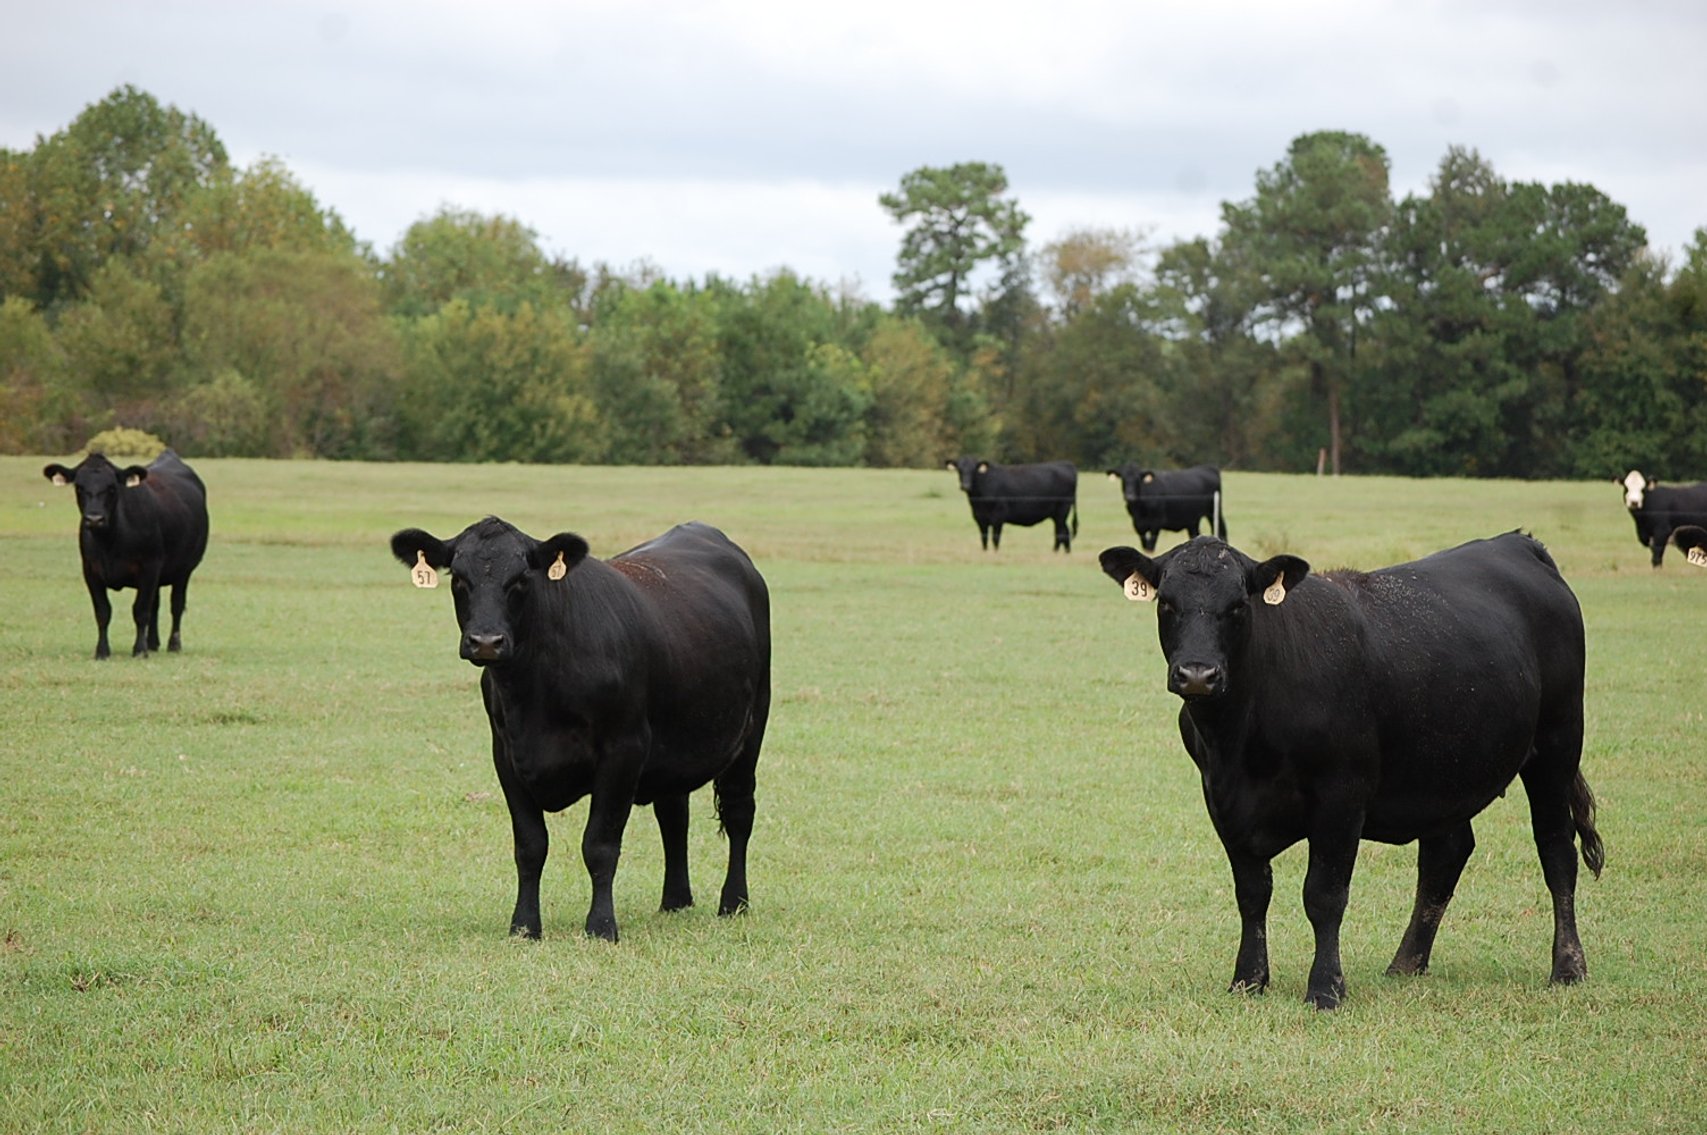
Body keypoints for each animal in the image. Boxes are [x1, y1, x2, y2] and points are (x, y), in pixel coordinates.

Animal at [42, 450, 209, 660]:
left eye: (112, 488)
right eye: (79, 487)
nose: (94, 519)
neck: (110, 543)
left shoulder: (149, 568)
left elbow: (141, 610)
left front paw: (139, 650)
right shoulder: (91, 571)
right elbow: (103, 612)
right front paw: (102, 651)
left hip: (184, 570)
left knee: (176, 605)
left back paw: (173, 644)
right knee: (156, 605)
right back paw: (152, 643)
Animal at [391, 517, 770, 943]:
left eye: (522, 578)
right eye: (458, 577)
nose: (486, 642)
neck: (535, 692)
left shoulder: (623, 750)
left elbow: (599, 845)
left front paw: (602, 926)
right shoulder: (506, 755)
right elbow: (530, 846)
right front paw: (524, 925)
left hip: (752, 728)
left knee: (739, 812)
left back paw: (733, 902)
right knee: (674, 815)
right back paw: (675, 900)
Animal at [944, 458, 1077, 552]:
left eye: (974, 470)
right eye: (959, 469)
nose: (965, 486)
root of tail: (1066, 464)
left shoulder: (998, 516)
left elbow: (995, 538)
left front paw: (995, 553)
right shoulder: (980, 518)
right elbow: (984, 538)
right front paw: (985, 552)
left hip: (1062, 510)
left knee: (1060, 532)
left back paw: (1055, 552)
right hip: (1058, 514)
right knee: (1065, 532)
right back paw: (1065, 553)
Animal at [1098, 531, 1601, 1010]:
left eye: (1238, 605)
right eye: (1167, 603)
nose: (1198, 675)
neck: (1241, 739)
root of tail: (1519, 543)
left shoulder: (1341, 797)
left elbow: (1323, 895)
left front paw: (1325, 988)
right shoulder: (1223, 799)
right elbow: (1252, 894)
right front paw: (1248, 979)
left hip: (1556, 747)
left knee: (1557, 850)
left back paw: (1568, 966)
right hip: (1444, 772)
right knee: (1446, 854)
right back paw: (1407, 962)